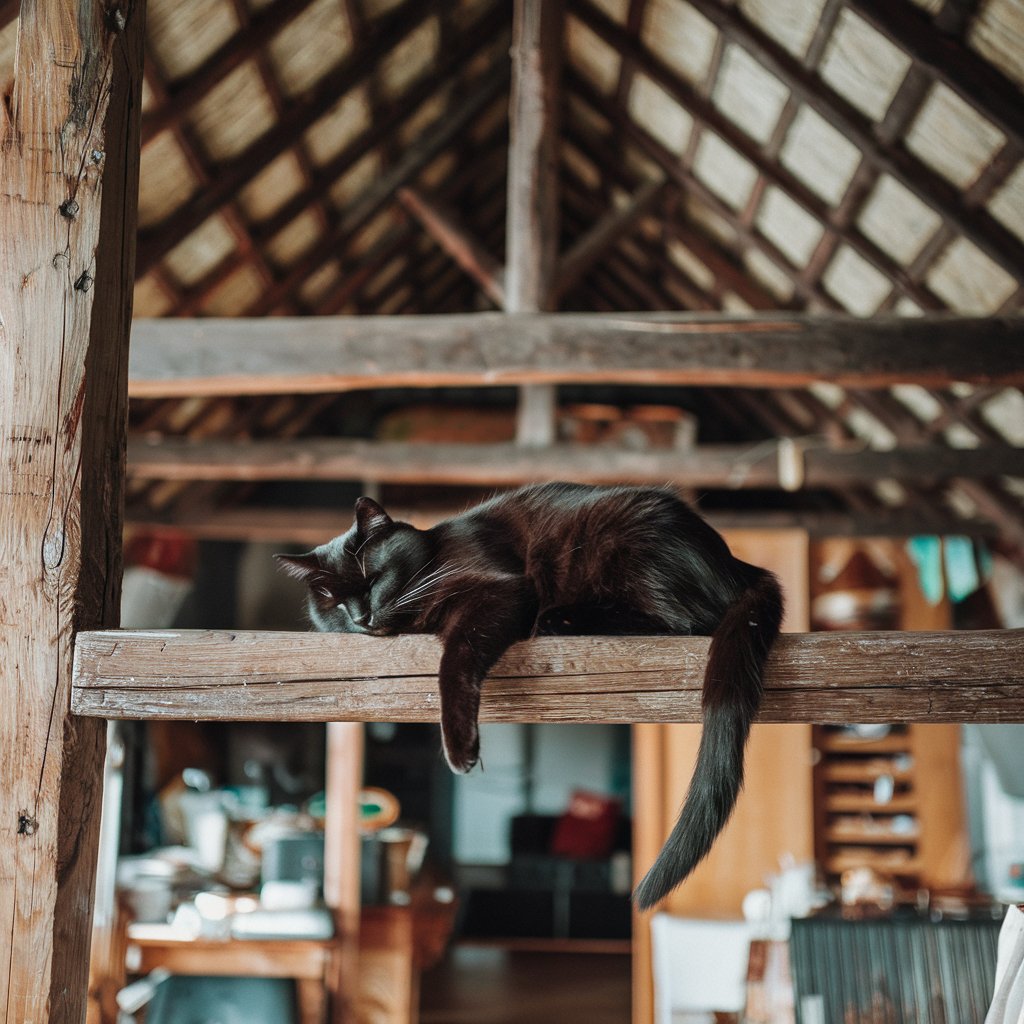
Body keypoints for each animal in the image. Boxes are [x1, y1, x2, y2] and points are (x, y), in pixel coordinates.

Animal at [276, 483, 778, 909]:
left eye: (373, 578)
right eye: (334, 602)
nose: (361, 618)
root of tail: (737, 563)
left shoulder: (497, 591)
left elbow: (453, 661)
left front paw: (460, 747)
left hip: (628, 543)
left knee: (687, 621)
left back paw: (563, 619)